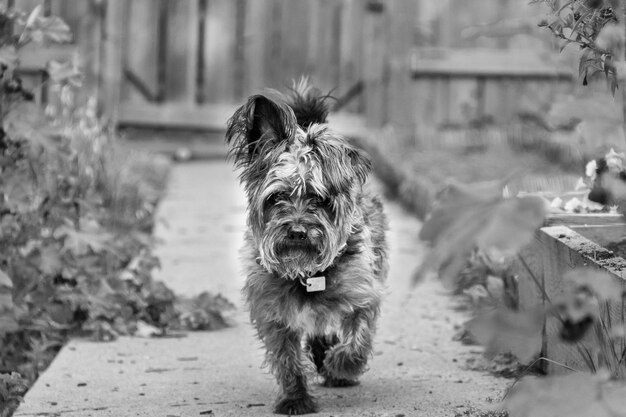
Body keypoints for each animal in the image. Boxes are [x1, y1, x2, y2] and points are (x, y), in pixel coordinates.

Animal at [224, 79, 386, 414]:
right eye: (276, 197)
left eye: (320, 198)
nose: (298, 231)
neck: (306, 273)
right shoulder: (272, 313)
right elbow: (286, 359)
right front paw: (295, 397)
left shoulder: (364, 294)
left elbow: (358, 337)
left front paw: (342, 365)